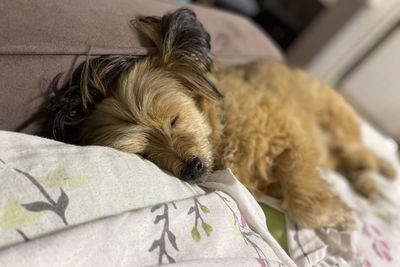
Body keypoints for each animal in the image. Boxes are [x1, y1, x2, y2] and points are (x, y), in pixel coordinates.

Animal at [47, 8, 396, 230]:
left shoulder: (289, 135)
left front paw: (330, 216)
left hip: (338, 122)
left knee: (358, 151)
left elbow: (298, 188)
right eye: (143, 153)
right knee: (345, 161)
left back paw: (381, 169)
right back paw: (366, 182)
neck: (222, 129)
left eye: (174, 120)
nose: (191, 169)